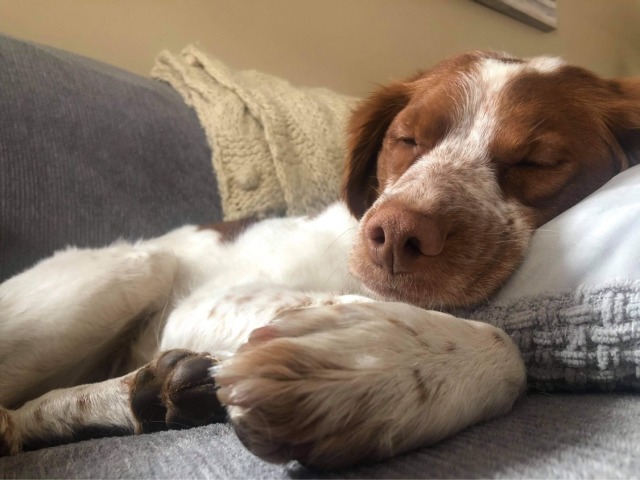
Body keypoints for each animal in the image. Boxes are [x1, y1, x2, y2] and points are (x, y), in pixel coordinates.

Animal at [1, 52, 640, 468]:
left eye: (537, 161)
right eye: (407, 140)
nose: (395, 233)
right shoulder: (200, 303)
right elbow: (504, 346)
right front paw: (368, 365)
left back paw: (155, 391)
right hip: (134, 268)